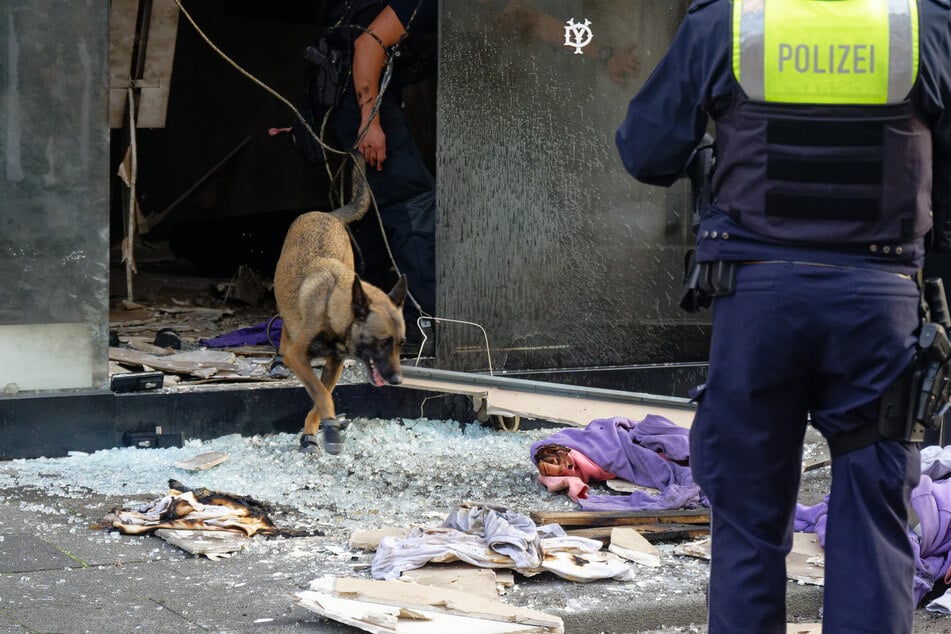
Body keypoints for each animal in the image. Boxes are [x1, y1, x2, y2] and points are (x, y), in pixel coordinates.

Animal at [276, 157, 410, 454]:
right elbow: (322, 395)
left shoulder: (334, 364)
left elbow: (321, 396)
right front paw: (330, 429)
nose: (397, 381)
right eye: (383, 342)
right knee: (284, 330)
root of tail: (326, 214)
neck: (333, 308)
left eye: (401, 344)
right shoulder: (298, 357)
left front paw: (313, 432)